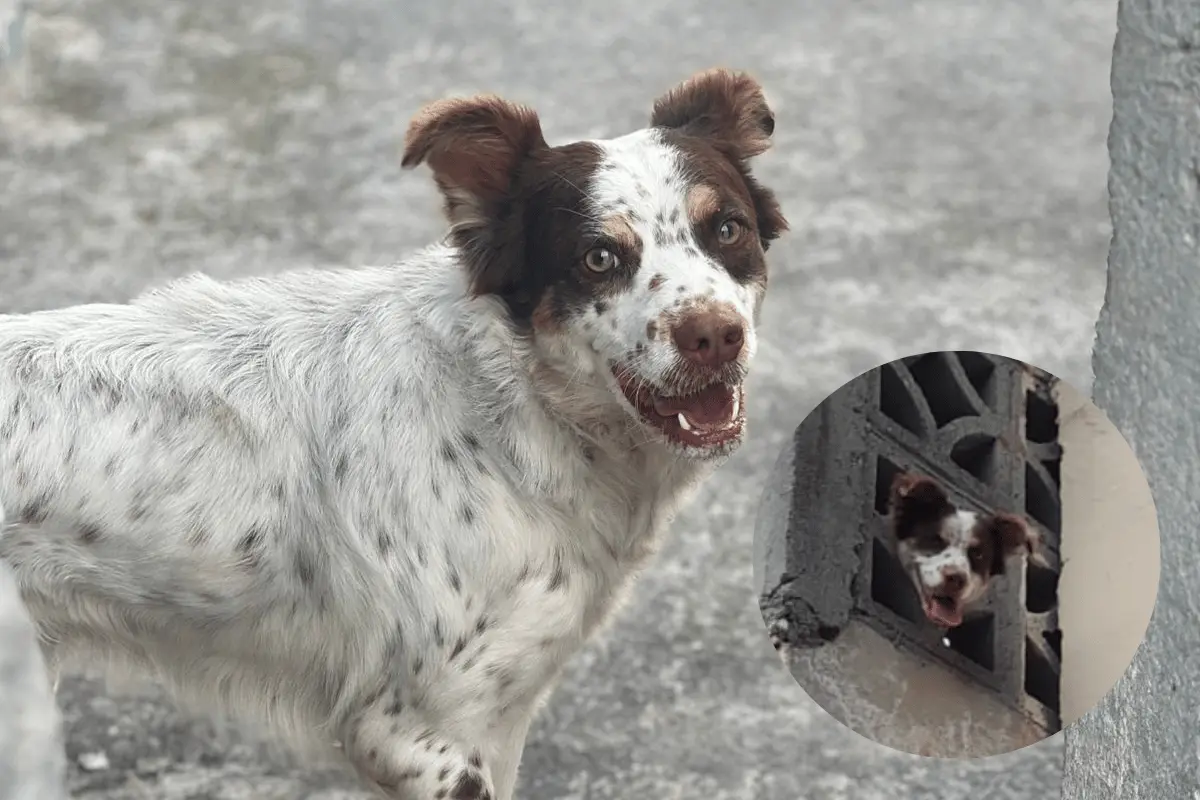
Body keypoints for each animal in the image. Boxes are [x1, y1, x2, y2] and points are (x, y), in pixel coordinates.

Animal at [0, 70, 787, 800]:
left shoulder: (497, 718)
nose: (715, 336)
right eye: (599, 258)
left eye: (727, 229)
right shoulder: (414, 734)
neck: (509, 413)